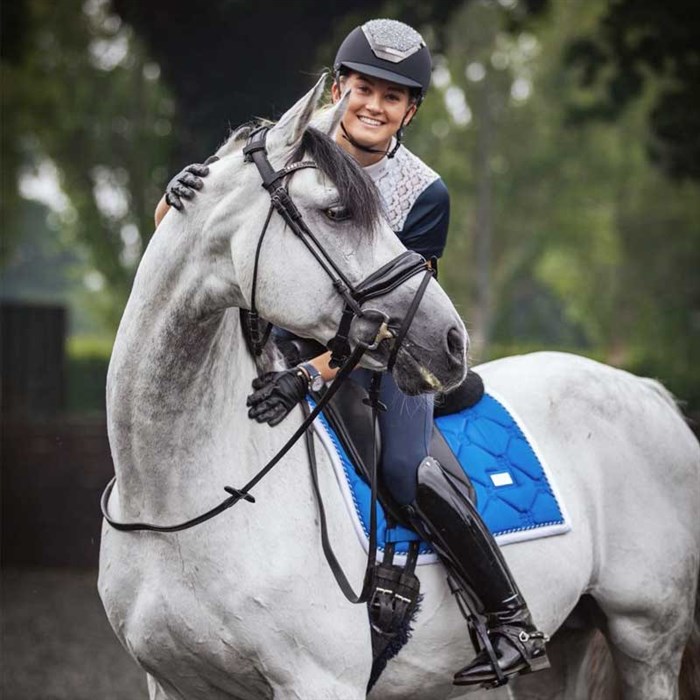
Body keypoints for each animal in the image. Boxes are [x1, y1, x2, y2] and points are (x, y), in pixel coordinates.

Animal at [100, 76, 700, 700]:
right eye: (336, 211)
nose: (452, 341)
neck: (175, 504)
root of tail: (647, 391)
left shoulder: (320, 682)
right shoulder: (171, 682)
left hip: (646, 637)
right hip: (571, 640)